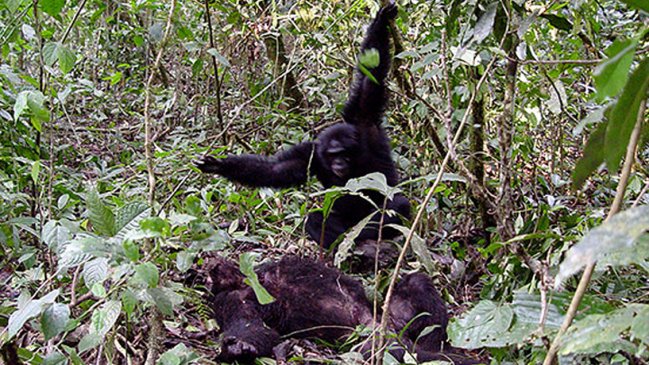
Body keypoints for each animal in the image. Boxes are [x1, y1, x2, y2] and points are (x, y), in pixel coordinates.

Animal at [195, 2, 410, 249]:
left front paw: (381, 20)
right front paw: (218, 165)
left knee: (399, 205)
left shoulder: (365, 120)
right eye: (332, 154)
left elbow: (370, 78)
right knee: (315, 218)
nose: (339, 162)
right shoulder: (311, 155)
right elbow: (275, 169)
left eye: (343, 152)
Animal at [208, 255, 480, 362]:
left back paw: (437, 346)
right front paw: (239, 347)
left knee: (417, 282)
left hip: (393, 319)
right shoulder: (230, 299)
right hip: (373, 339)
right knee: (384, 350)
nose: (212, 269)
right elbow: (255, 327)